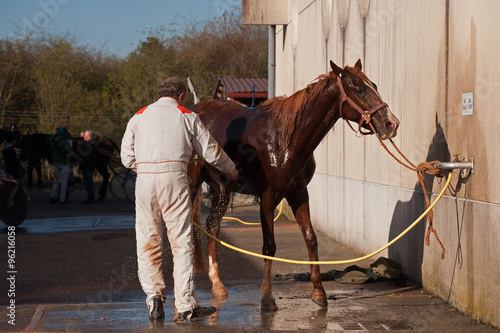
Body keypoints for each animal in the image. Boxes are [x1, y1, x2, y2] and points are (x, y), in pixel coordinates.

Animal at [189, 60, 400, 312]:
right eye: (358, 89)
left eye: (374, 85)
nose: (391, 123)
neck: (286, 139)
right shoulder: (267, 197)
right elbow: (269, 246)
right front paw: (267, 297)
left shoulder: (299, 193)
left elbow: (310, 238)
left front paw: (319, 292)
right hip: (191, 184)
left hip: (221, 190)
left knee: (212, 227)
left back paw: (218, 286)